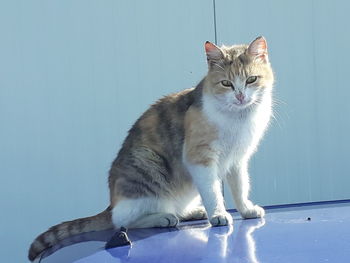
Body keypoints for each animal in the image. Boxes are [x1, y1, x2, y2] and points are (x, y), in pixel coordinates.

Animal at [28, 36, 274, 262]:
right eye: (226, 83)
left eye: (251, 79)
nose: (240, 96)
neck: (237, 118)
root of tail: (111, 202)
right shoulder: (199, 158)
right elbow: (212, 191)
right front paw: (218, 214)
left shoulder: (237, 160)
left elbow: (240, 188)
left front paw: (246, 210)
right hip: (147, 163)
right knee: (123, 221)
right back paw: (162, 218)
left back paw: (192, 212)